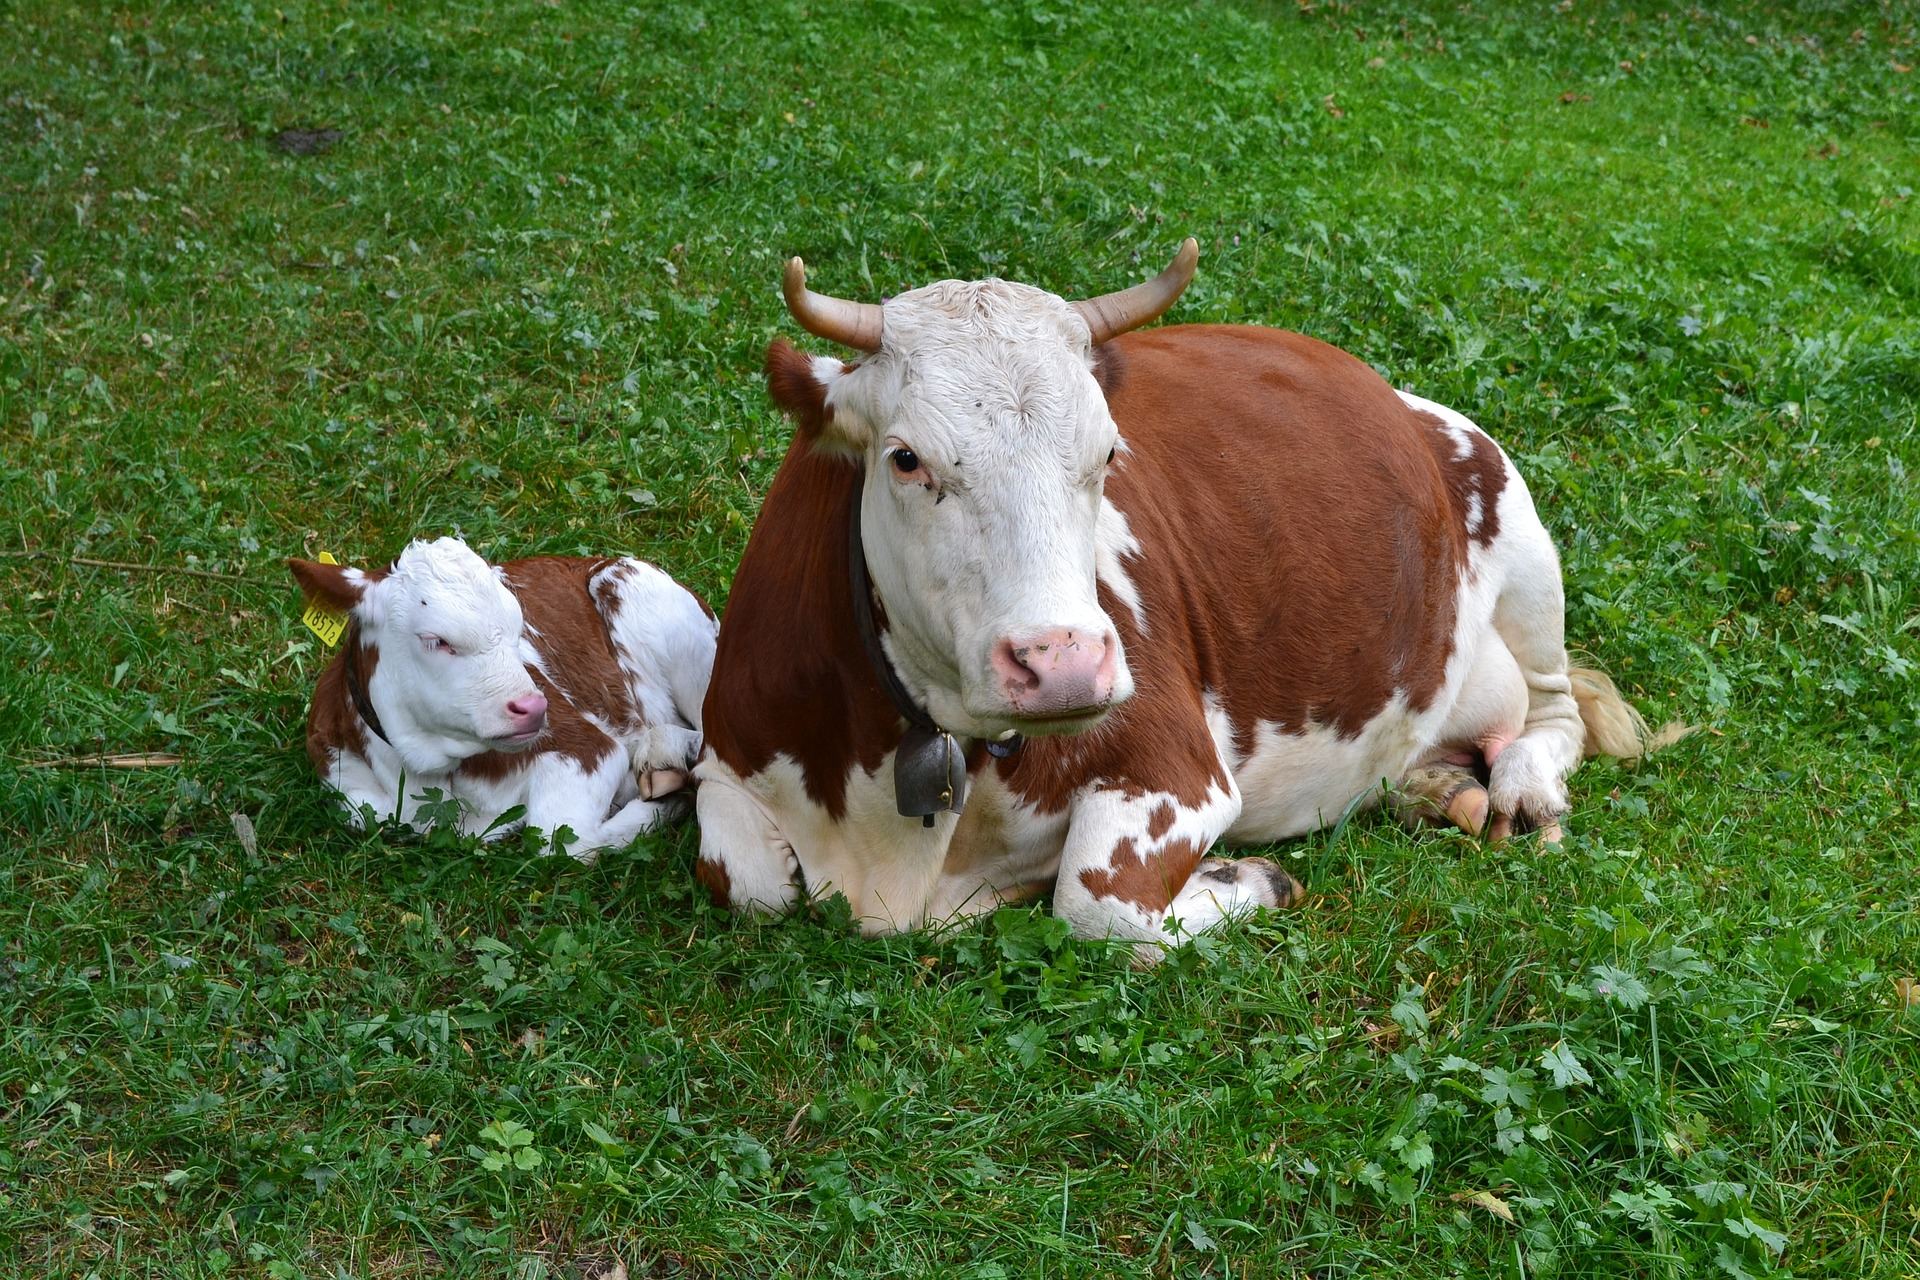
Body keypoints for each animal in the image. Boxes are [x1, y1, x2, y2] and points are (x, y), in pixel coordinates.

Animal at [291, 537, 721, 867]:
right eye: (436, 640)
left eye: (518, 628)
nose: (534, 707)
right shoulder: (347, 789)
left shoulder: (587, 746)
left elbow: (559, 838)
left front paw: (666, 801)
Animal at [695, 245, 1681, 955]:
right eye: (905, 457)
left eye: (1107, 453)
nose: (1064, 665)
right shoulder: (728, 754)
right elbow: (747, 880)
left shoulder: (1178, 768)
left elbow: (1098, 906)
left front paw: (1247, 881)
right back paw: (1435, 787)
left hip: (1522, 540)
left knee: (1556, 713)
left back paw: (1517, 790)